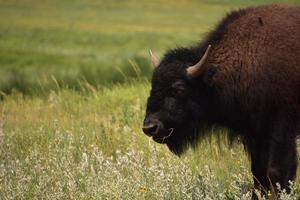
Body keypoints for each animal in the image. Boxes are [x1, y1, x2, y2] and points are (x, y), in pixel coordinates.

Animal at [142, 4, 298, 198]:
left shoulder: (281, 129)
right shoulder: (254, 133)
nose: (150, 127)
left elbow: (276, 171)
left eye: (179, 89)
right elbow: (258, 172)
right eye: (153, 85)